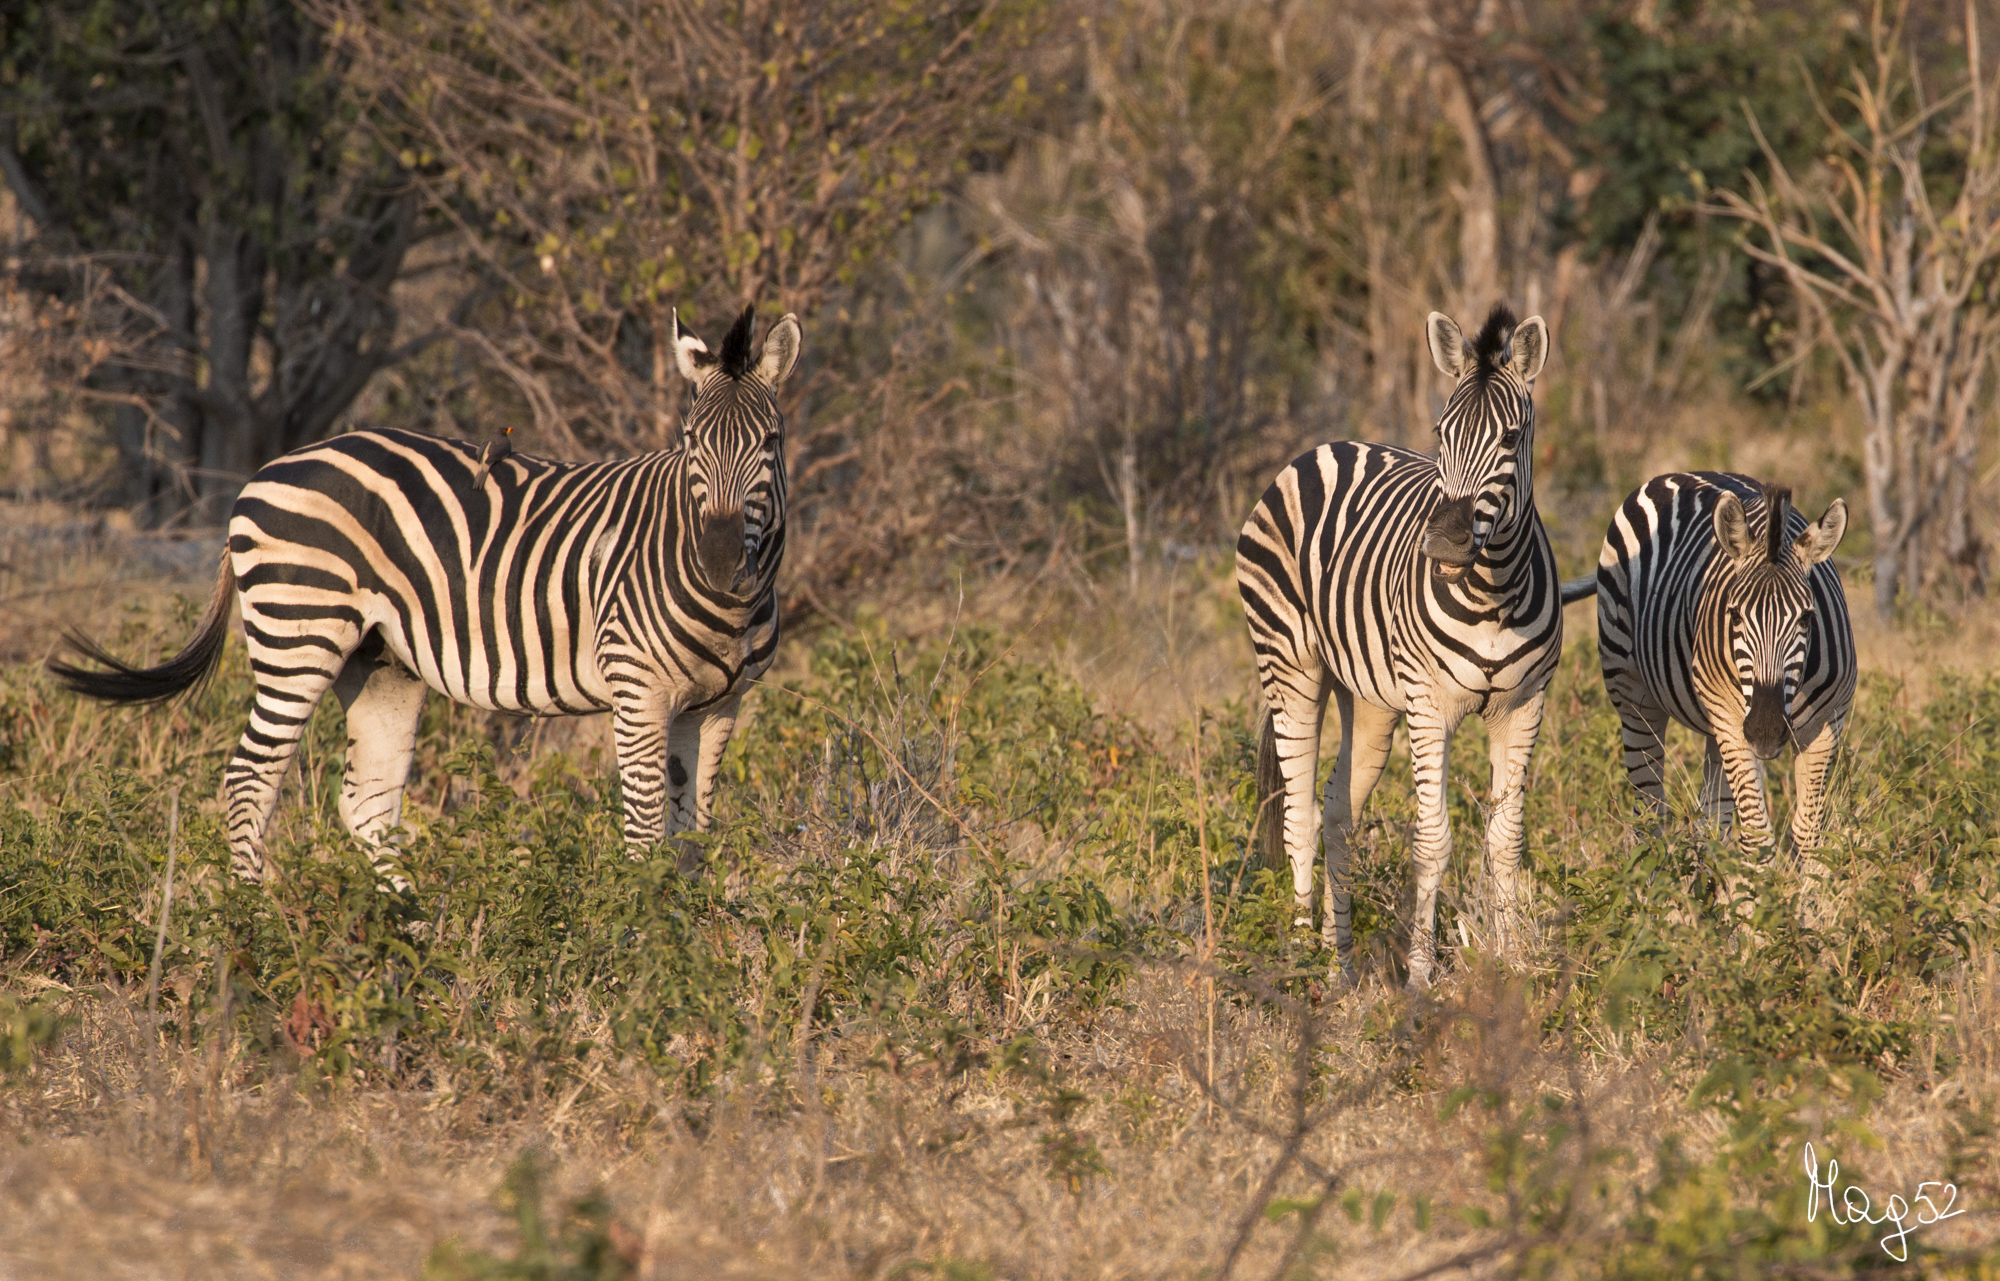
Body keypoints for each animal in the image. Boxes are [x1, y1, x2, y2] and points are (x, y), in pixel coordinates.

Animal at [48, 304, 796, 884]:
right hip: (299, 634)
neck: (725, 605)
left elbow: (692, 833)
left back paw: (407, 939)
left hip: (383, 665)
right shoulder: (638, 692)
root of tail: (266, 470)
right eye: (691, 442)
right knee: (250, 781)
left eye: (770, 442)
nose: (720, 560)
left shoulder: (719, 706)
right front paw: (644, 948)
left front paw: (688, 942)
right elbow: (645, 834)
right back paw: (250, 926)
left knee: (367, 802)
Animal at [1232, 302, 1576, 992]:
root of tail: (1322, 449)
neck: (1494, 592)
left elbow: (1505, 841)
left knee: (1336, 809)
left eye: (1510, 440)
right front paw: (1420, 976)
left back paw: (1339, 966)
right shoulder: (1429, 704)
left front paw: (1508, 966)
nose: (1442, 541)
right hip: (1291, 665)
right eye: (1440, 434)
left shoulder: (1524, 706)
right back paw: (1301, 955)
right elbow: (1432, 841)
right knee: (1299, 817)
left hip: (1368, 699)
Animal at [1584, 476, 1848, 864]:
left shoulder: (1828, 722)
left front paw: (1814, 883)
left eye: (1806, 618)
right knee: (1649, 812)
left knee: (1712, 819)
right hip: (1636, 695)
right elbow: (1756, 836)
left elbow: (1810, 832)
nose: (1766, 731)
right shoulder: (1733, 721)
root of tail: (1677, 475)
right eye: (1735, 615)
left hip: (1716, 723)